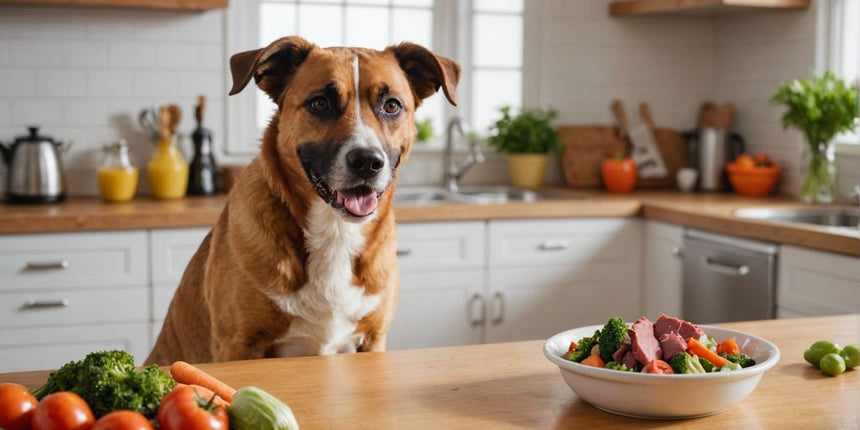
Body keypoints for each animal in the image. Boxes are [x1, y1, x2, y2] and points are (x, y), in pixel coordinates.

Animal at [144, 37, 460, 364]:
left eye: (392, 106)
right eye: (320, 103)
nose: (368, 162)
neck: (335, 232)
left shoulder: (374, 340)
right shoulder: (238, 345)